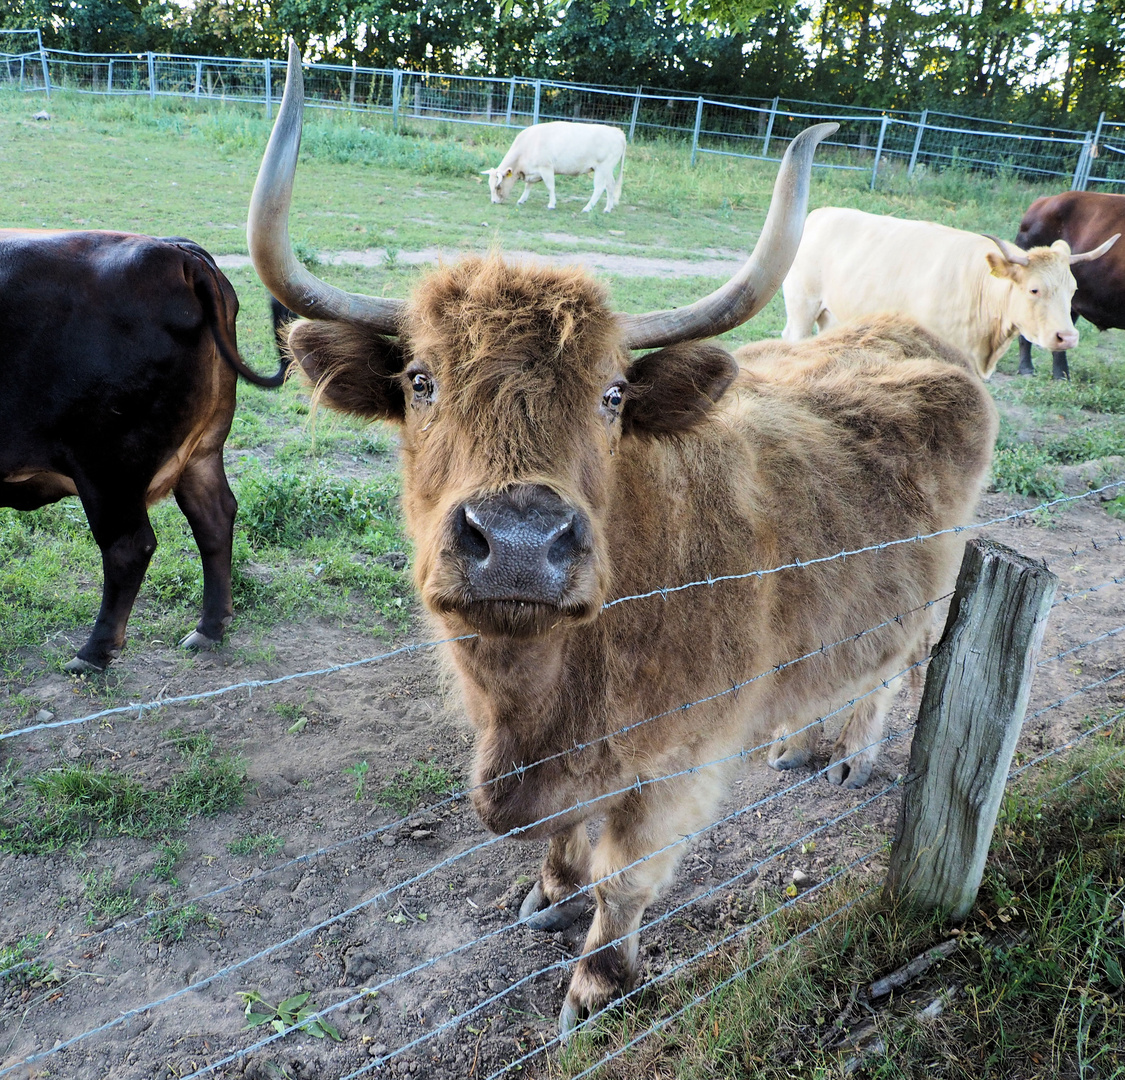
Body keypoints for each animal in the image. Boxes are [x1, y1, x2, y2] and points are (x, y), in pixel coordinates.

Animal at [0, 230, 288, 670]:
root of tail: (177, 253)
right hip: (202, 450)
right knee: (214, 516)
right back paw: (209, 629)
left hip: (108, 468)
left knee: (129, 547)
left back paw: (94, 652)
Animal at [481, 121, 630, 211]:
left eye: (498, 186)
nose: (494, 201)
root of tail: (618, 131)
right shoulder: (534, 171)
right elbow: (528, 186)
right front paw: (522, 200)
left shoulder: (546, 168)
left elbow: (550, 186)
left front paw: (551, 204)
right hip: (608, 170)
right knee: (610, 185)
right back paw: (608, 208)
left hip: (602, 168)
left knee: (599, 188)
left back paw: (587, 208)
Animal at [783, 208, 1116, 380]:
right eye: (1034, 289)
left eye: (1072, 290)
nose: (1067, 337)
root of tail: (821, 213)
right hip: (802, 304)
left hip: (832, 315)